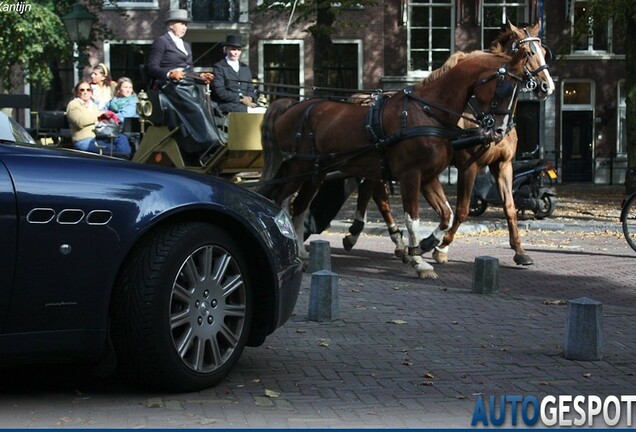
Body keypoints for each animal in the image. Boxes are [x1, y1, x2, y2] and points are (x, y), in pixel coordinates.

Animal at [258, 49, 528, 278]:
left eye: (520, 89)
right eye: (504, 88)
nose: (499, 130)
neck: (427, 112)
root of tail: (291, 106)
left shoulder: (428, 176)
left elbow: (447, 214)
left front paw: (427, 245)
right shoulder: (412, 175)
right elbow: (414, 219)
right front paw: (420, 260)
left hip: (316, 173)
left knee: (299, 205)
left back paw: (304, 253)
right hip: (299, 168)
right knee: (279, 200)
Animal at [340, 22, 556, 266]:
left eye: (544, 51)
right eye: (528, 53)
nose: (547, 86)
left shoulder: (503, 164)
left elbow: (509, 207)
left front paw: (519, 251)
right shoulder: (468, 166)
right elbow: (462, 210)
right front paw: (440, 247)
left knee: (370, 190)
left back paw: (371, 237)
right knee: (378, 195)